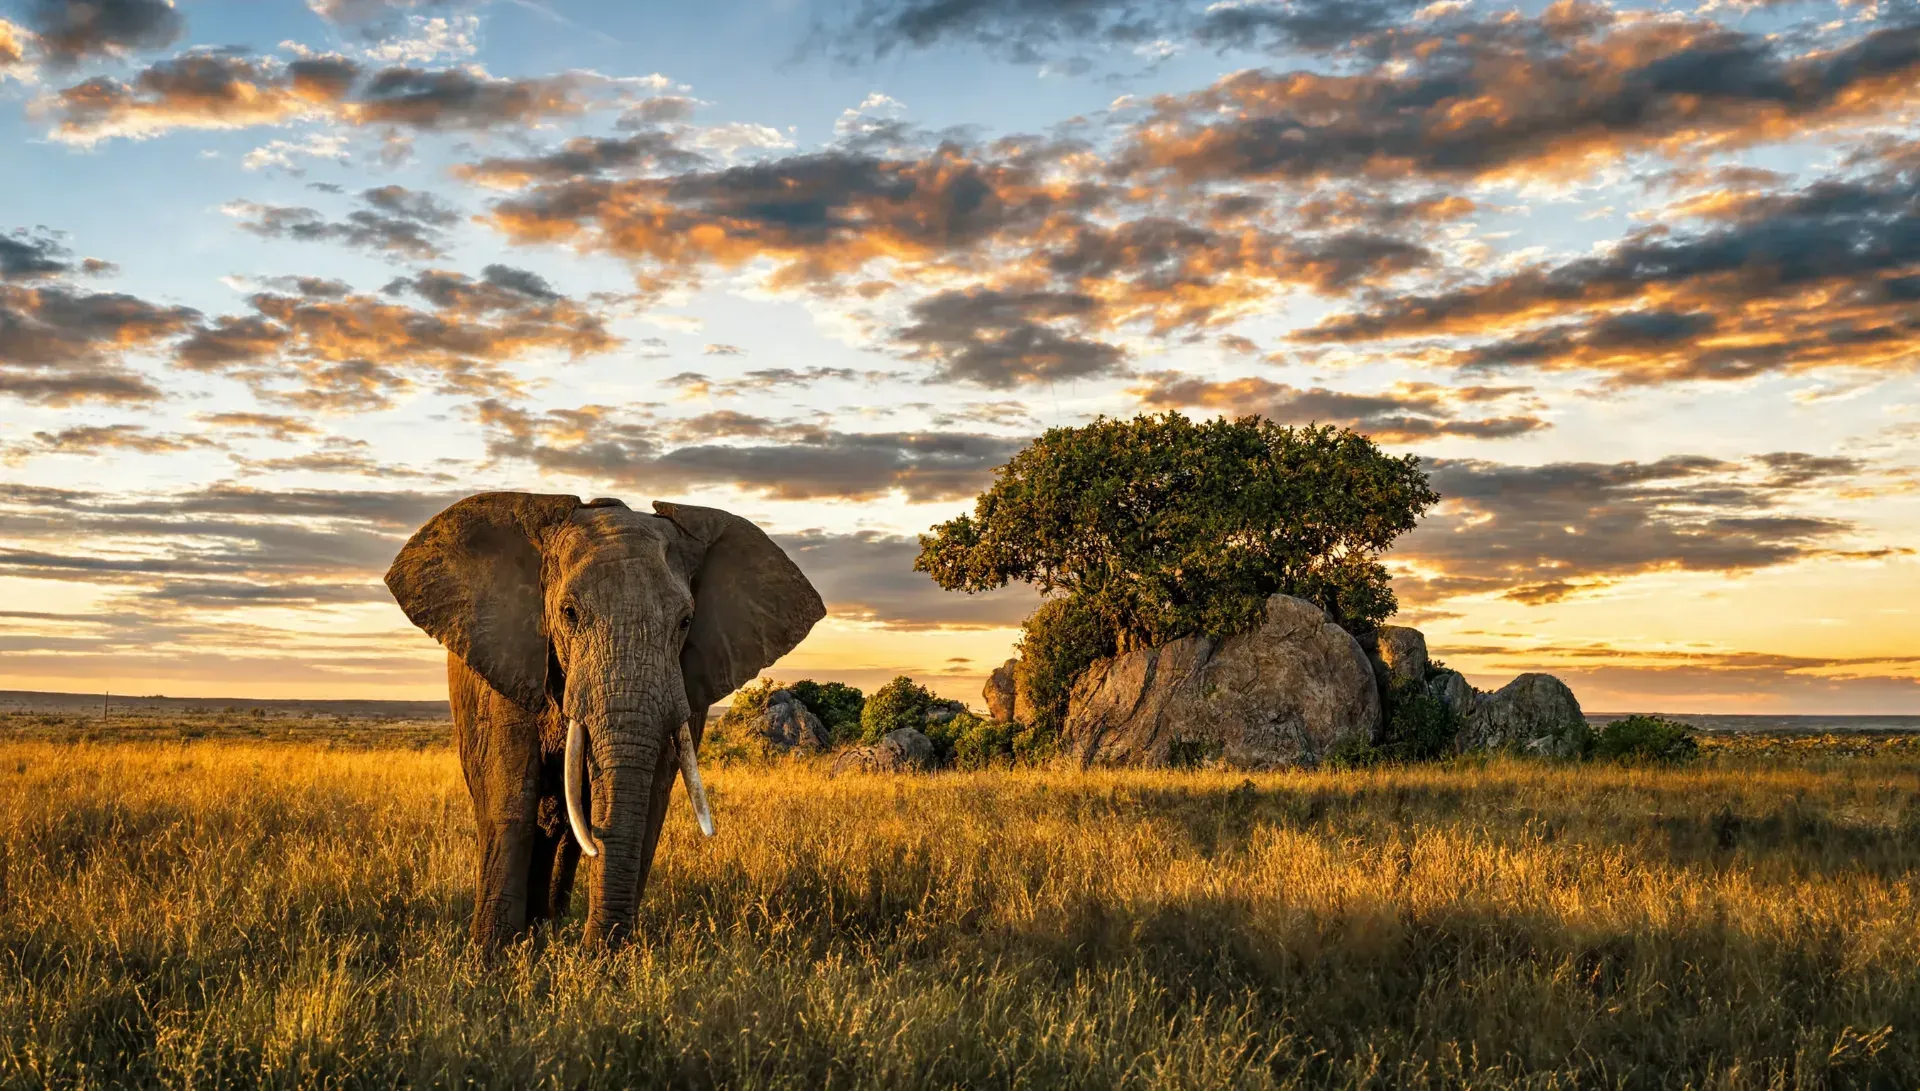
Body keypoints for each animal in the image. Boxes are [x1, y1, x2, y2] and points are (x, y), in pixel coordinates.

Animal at [383, 491, 825, 951]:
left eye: (686, 621)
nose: (598, 950)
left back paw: (546, 931)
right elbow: (509, 796)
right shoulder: (502, 661)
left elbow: (652, 799)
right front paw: (491, 956)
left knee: (565, 826)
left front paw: (606, 958)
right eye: (569, 613)